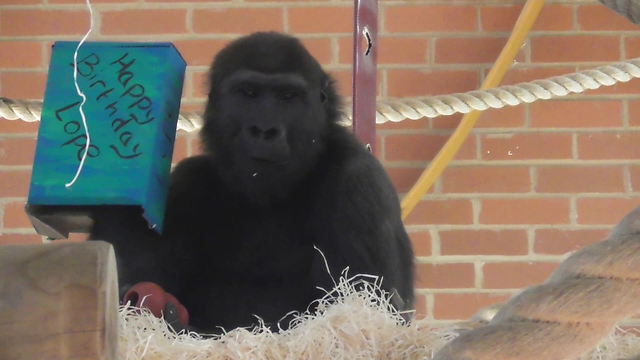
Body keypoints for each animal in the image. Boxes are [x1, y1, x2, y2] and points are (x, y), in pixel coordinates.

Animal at [89, 31, 416, 334]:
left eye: (287, 97)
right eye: (248, 93)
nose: (264, 129)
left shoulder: (359, 182)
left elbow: (359, 303)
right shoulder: (186, 184)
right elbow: (138, 275)